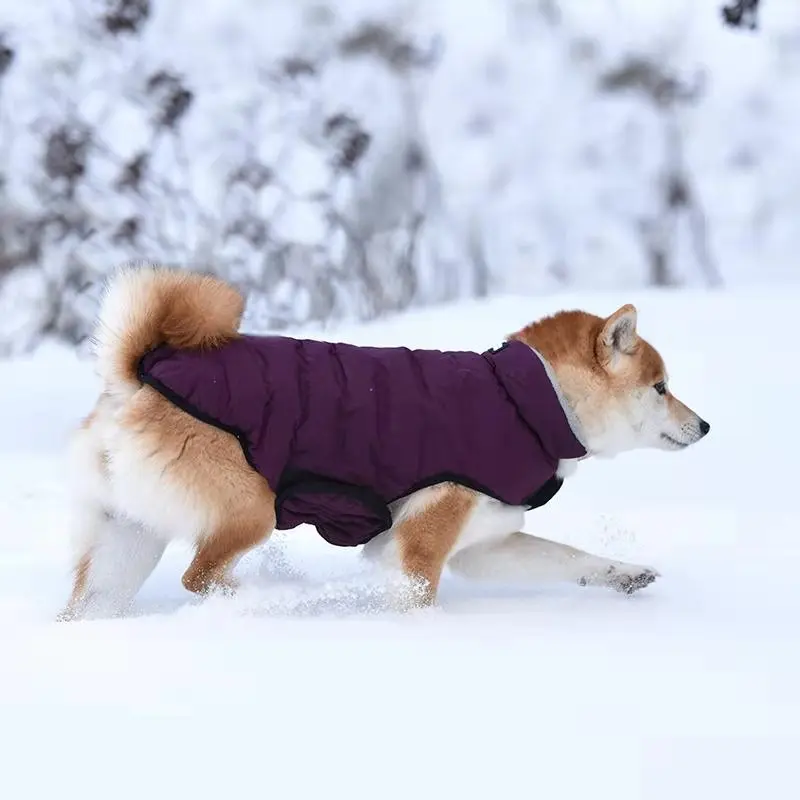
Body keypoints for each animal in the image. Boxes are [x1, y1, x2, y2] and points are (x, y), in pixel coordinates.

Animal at [59, 264, 710, 620]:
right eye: (660, 387)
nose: (704, 426)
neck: (529, 400)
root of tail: (141, 375)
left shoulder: (485, 542)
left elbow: (571, 558)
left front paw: (624, 574)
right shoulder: (416, 545)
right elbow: (418, 595)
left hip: (126, 544)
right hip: (251, 509)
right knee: (201, 577)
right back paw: (269, 596)